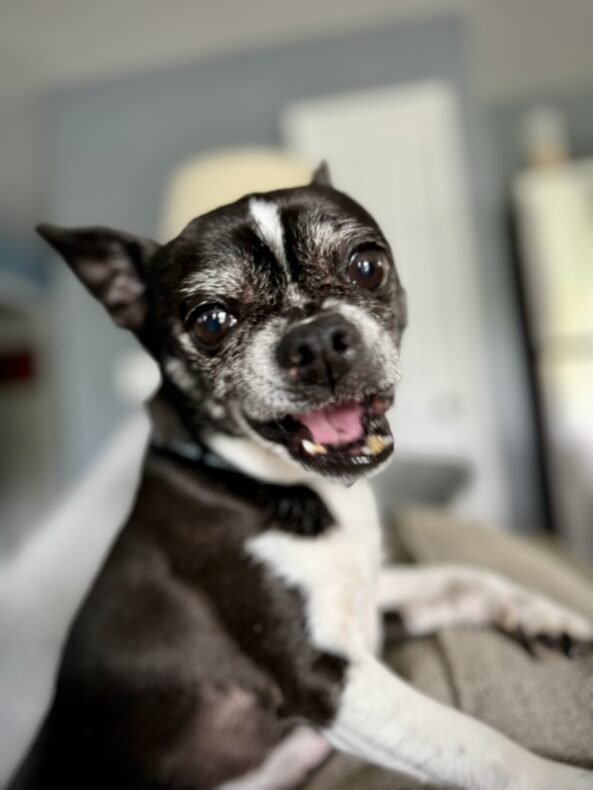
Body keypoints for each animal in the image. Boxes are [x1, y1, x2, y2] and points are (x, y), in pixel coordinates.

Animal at [10, 164, 593, 790]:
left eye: (367, 265)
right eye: (211, 321)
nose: (315, 341)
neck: (286, 486)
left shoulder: (371, 604)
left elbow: (462, 576)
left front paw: (549, 614)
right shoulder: (326, 680)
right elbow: (483, 746)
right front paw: (563, 777)